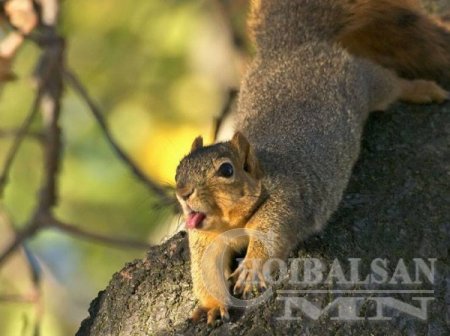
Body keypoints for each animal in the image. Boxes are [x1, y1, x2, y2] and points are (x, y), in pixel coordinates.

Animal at [174, 0, 448, 326]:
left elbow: (270, 240)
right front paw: (212, 305)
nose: (183, 192)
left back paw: (422, 89)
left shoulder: (286, 203)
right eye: (178, 171)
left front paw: (251, 270)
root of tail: (292, 45)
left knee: (388, 82)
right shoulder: (205, 239)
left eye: (226, 170)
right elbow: (204, 271)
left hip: (362, 81)